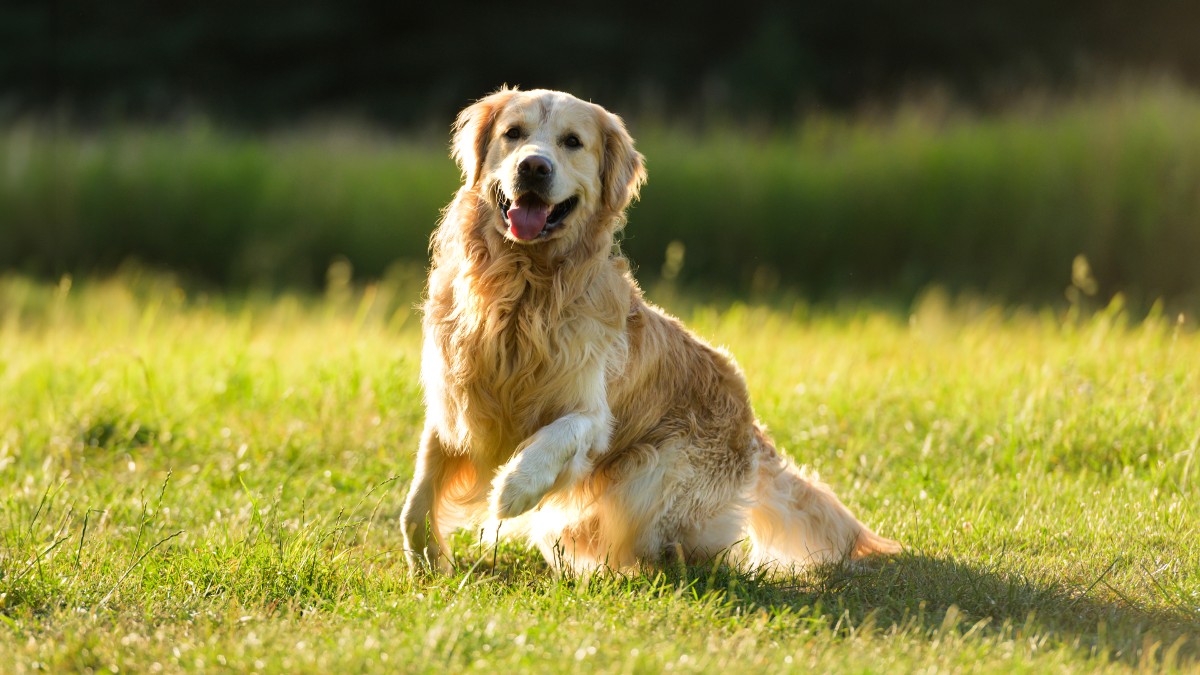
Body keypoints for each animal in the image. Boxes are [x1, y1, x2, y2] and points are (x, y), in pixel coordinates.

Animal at [403, 88, 902, 571]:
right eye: (513, 133)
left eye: (572, 142)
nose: (533, 166)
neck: (521, 287)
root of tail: (753, 427)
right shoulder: (453, 407)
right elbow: (415, 502)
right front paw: (428, 561)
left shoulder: (592, 413)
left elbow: (562, 433)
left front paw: (515, 486)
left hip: (651, 476)